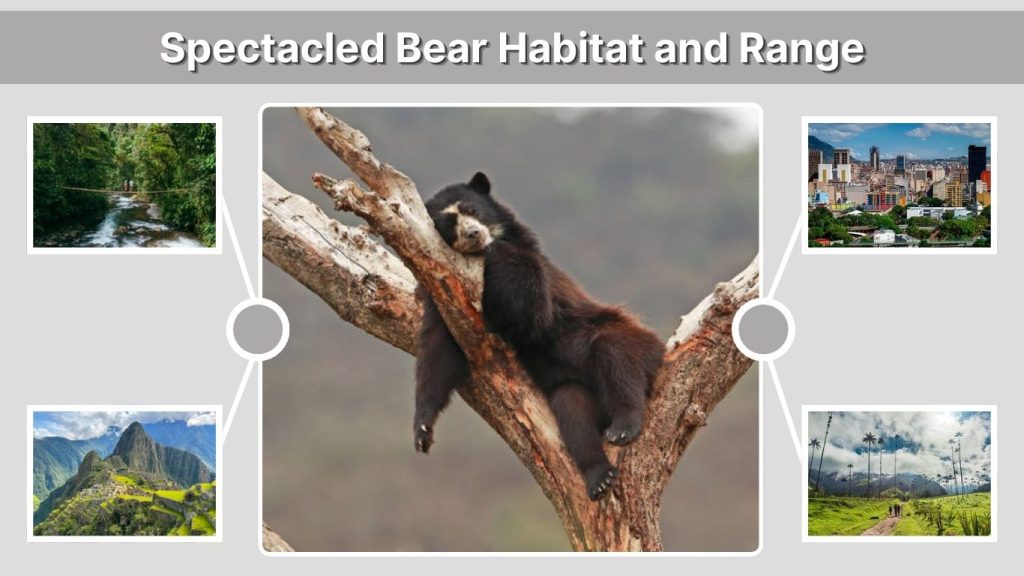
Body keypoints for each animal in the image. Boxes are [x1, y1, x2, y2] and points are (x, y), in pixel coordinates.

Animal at [413, 172, 665, 500]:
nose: (473, 234)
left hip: (635, 340)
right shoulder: (444, 294)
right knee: (571, 405)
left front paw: (496, 249)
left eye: (473, 210)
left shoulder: (536, 273)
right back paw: (599, 477)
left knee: (614, 351)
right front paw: (423, 431)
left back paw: (624, 425)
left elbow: (533, 312)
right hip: (583, 395)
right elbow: (438, 351)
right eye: (448, 224)